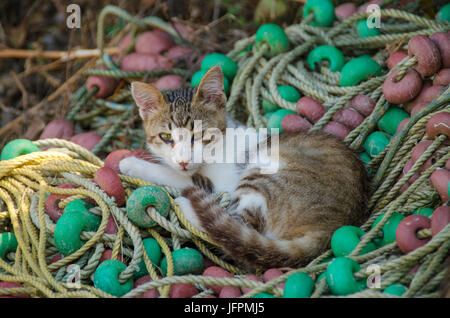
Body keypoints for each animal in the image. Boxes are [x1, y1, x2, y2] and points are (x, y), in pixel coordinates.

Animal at [119, 66, 370, 270]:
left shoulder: (223, 182)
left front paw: (132, 164)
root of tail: (332, 226)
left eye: (199, 135)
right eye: (165, 137)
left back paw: (187, 206)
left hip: (263, 173)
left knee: (234, 229)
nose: (183, 161)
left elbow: (179, 177)